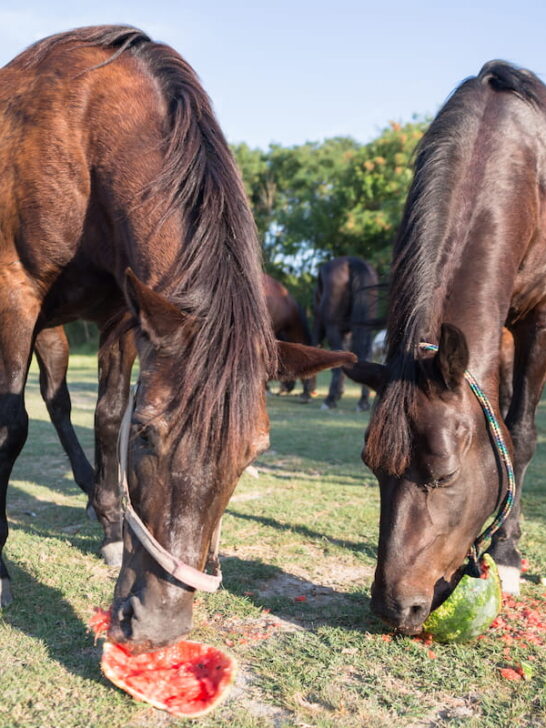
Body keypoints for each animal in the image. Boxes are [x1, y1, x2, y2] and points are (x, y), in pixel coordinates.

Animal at [0, 24, 352, 648]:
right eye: (147, 435)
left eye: (253, 453)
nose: (156, 625)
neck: (83, 129)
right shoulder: (15, 289)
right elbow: (13, 424)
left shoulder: (125, 309)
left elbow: (105, 413)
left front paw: (112, 525)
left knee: (59, 400)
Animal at [344, 59, 546, 636]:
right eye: (373, 470)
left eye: (445, 475)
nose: (394, 608)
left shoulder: (539, 318)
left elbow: (521, 435)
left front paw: (507, 555)